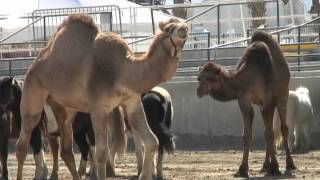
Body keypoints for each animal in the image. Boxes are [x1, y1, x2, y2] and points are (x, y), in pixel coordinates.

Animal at [15, 14, 188, 180]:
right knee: (22, 144)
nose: (184, 29)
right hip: (33, 95)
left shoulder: (132, 102)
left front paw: (144, 176)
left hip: (64, 108)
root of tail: (35, 64)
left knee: (66, 149)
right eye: (170, 28)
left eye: (184, 23)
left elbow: (152, 141)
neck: (122, 71)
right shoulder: (98, 108)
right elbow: (102, 152)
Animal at [196, 31, 296, 177]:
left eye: (211, 79)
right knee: (268, 130)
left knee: (283, 128)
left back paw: (289, 164)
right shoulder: (244, 101)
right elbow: (248, 135)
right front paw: (242, 169)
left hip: (283, 95)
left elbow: (270, 134)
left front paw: (275, 168)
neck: (250, 77)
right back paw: (265, 166)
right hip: (262, 105)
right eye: (199, 78)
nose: (199, 91)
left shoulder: (268, 101)